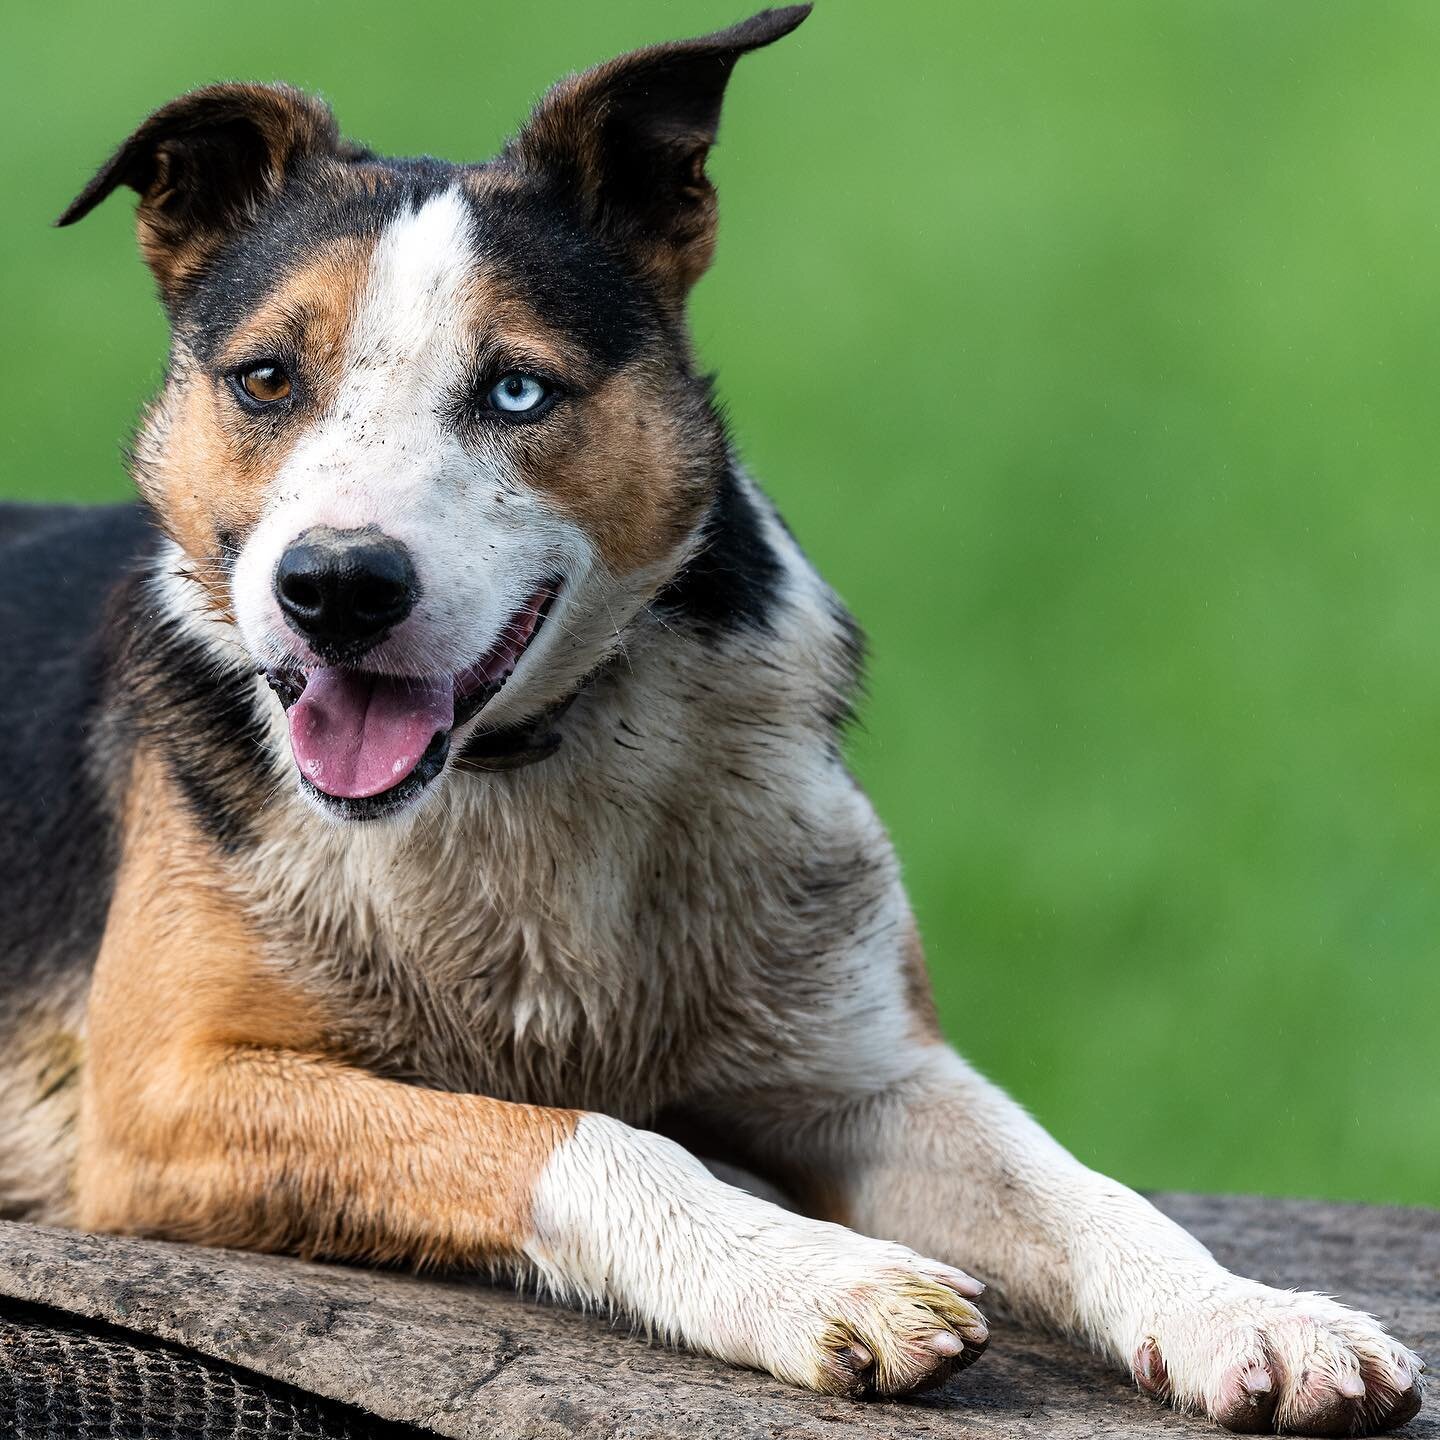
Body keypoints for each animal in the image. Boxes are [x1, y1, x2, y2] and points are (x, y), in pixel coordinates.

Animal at [0, 5, 1416, 1434]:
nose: (337, 585)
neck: (521, 765)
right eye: (266, 379)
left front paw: (1253, 1313)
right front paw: (819, 1277)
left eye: (517, 393)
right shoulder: (159, 1101)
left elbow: (1078, 1187)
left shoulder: (867, 1071)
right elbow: (579, 1133)